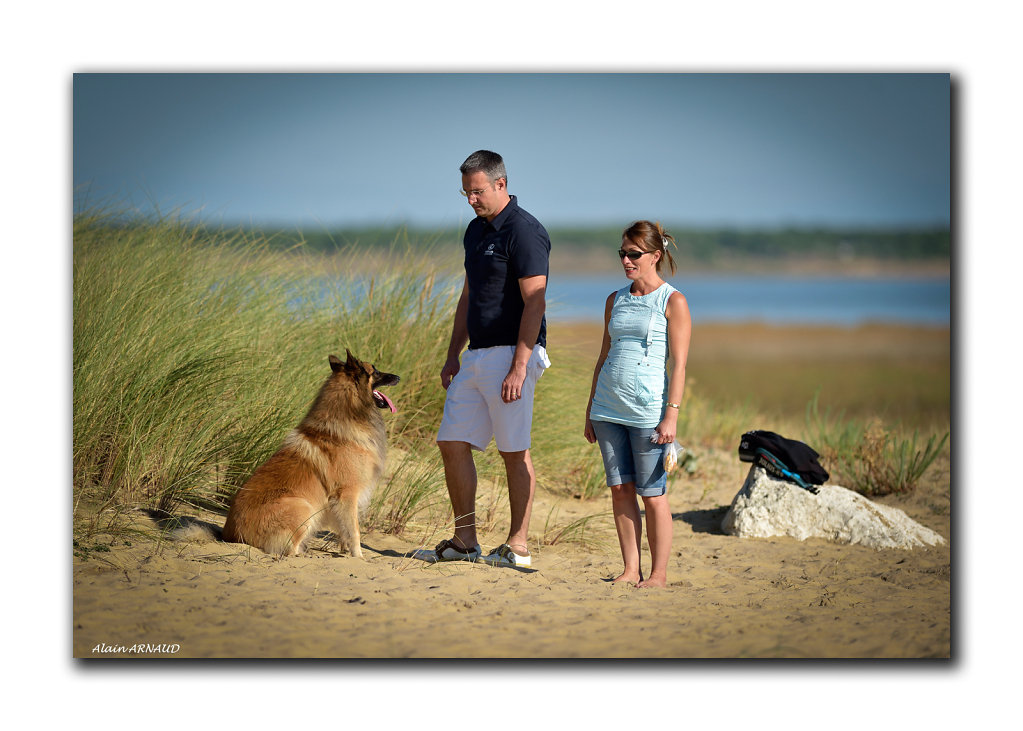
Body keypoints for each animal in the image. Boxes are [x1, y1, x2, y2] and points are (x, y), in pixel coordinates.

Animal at [221, 351, 396, 556]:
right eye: (375, 371)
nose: (398, 377)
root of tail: (229, 534)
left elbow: (343, 531)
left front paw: (345, 552)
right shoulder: (347, 495)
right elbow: (354, 532)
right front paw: (358, 557)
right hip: (303, 507)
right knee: (289, 550)